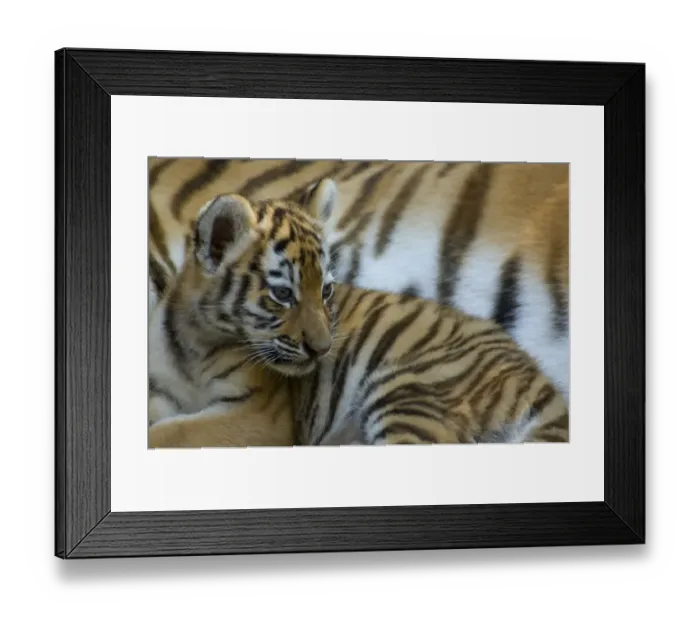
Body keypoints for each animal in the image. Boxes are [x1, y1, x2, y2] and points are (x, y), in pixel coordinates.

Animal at [147, 178, 568, 448]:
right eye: (283, 294)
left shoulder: (258, 414)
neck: (194, 345)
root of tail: (546, 387)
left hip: (410, 389)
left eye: (326, 290)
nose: (322, 350)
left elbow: (175, 433)